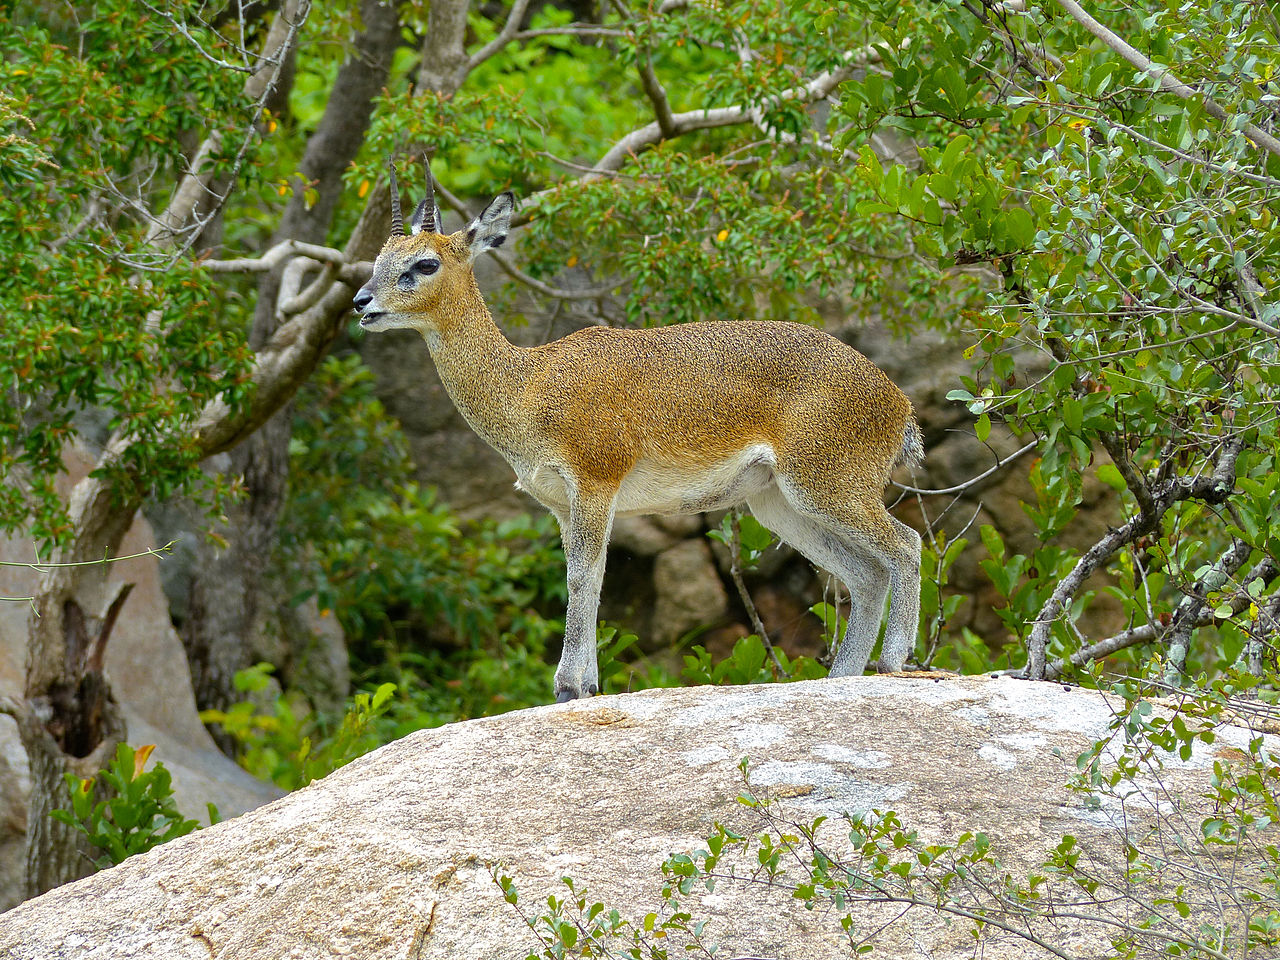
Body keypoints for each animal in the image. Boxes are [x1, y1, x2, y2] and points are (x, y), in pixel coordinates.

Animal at [355, 161, 926, 701]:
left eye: (424, 263)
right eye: (378, 259)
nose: (361, 302)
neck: (526, 385)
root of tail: (899, 405)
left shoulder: (594, 484)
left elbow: (581, 579)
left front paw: (567, 686)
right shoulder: (562, 504)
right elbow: (591, 580)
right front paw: (587, 686)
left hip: (827, 486)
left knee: (906, 544)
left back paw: (893, 661)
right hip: (779, 503)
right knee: (867, 574)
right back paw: (844, 676)